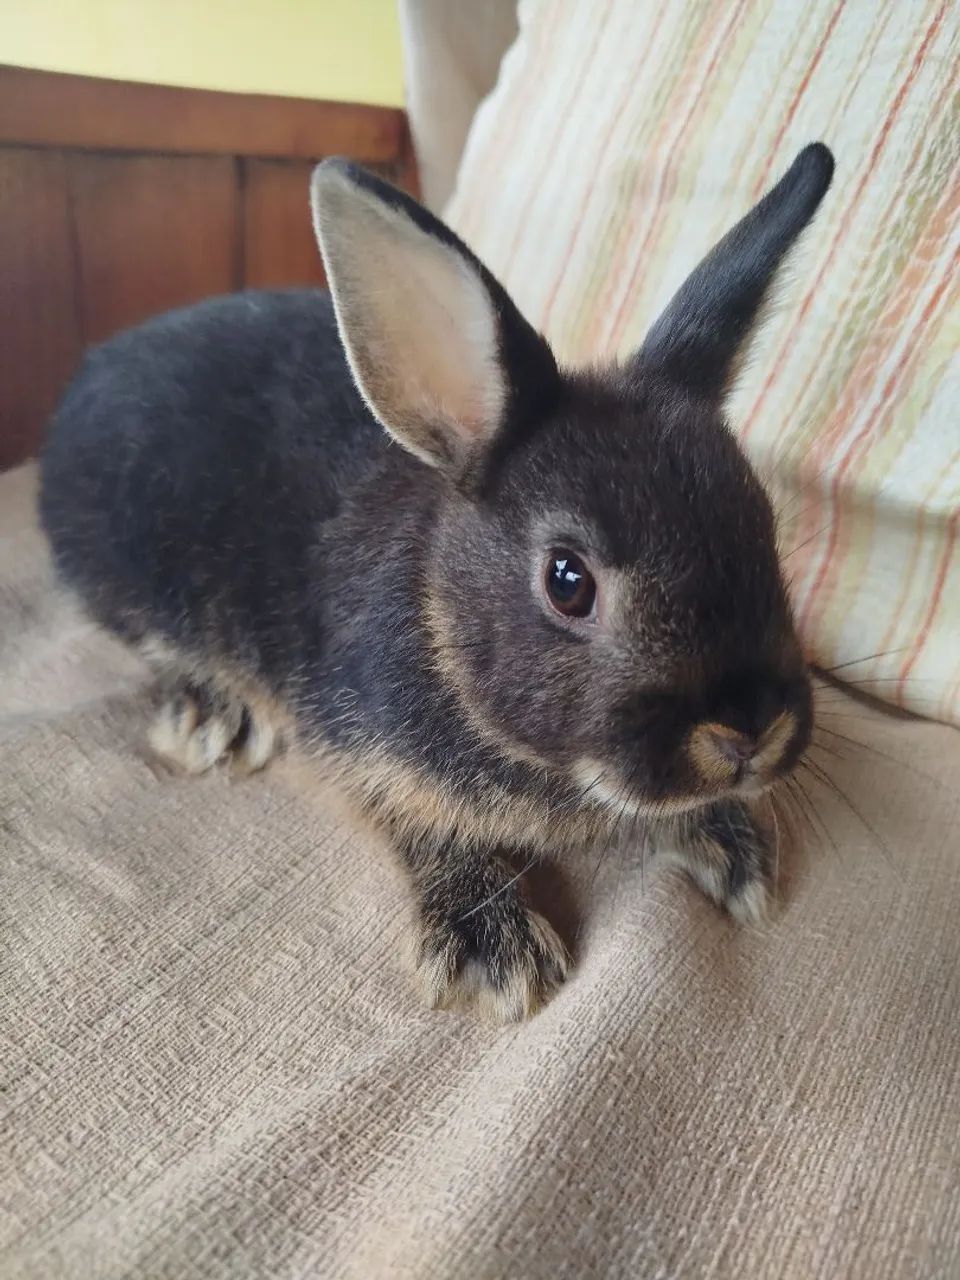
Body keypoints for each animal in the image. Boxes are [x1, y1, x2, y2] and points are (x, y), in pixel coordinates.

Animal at [40, 143, 834, 1021]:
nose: (751, 731)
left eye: (764, 524)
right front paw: (495, 948)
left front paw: (735, 850)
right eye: (568, 581)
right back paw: (210, 709)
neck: (437, 614)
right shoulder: (354, 750)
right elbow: (421, 825)